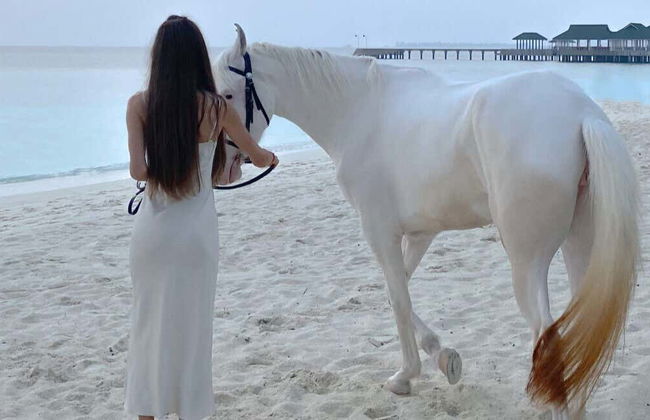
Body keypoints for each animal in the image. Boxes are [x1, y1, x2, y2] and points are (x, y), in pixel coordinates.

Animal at [214, 25, 640, 419]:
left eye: (229, 96)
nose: (225, 167)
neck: (359, 111)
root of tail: (581, 113)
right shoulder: (420, 233)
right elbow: (396, 292)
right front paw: (442, 358)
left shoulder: (379, 231)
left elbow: (399, 299)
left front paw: (407, 375)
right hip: (580, 246)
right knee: (580, 331)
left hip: (527, 260)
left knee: (547, 336)